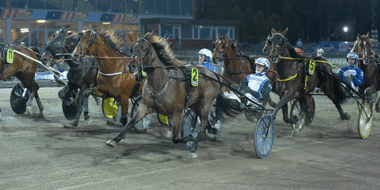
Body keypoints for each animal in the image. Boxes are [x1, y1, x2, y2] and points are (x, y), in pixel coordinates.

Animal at [103, 32, 240, 154]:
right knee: (206, 123)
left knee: (204, 123)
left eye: (145, 49)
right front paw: (115, 139)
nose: (131, 66)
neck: (160, 83)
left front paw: (190, 137)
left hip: (206, 102)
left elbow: (175, 138)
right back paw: (212, 130)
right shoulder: (144, 106)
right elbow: (130, 123)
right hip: (195, 104)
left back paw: (194, 146)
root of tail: (214, 75)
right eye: (133, 48)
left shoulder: (177, 113)